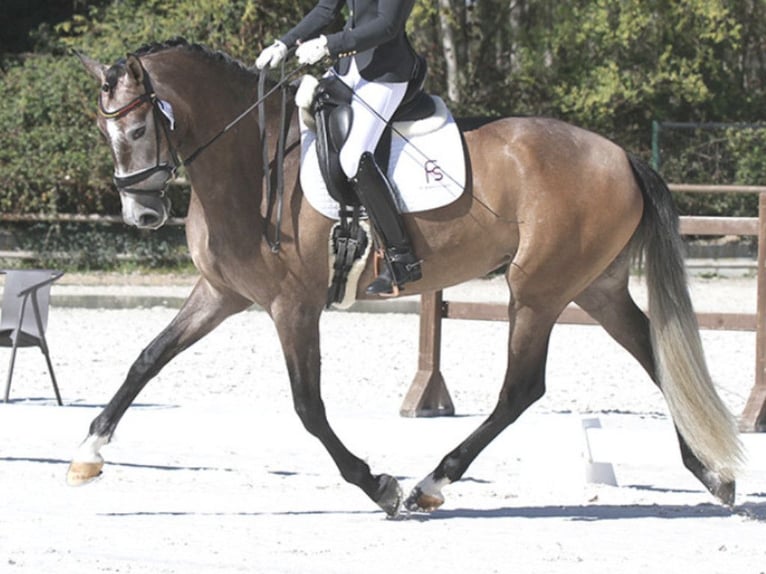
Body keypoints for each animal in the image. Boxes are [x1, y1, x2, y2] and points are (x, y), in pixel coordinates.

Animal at [72, 40, 744, 516]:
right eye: (104, 131)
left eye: (138, 129)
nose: (143, 215)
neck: (252, 160)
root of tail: (621, 154)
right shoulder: (221, 294)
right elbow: (147, 359)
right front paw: (87, 451)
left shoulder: (293, 306)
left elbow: (308, 407)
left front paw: (378, 486)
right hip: (594, 288)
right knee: (654, 357)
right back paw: (713, 474)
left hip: (538, 291)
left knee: (520, 390)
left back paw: (429, 484)